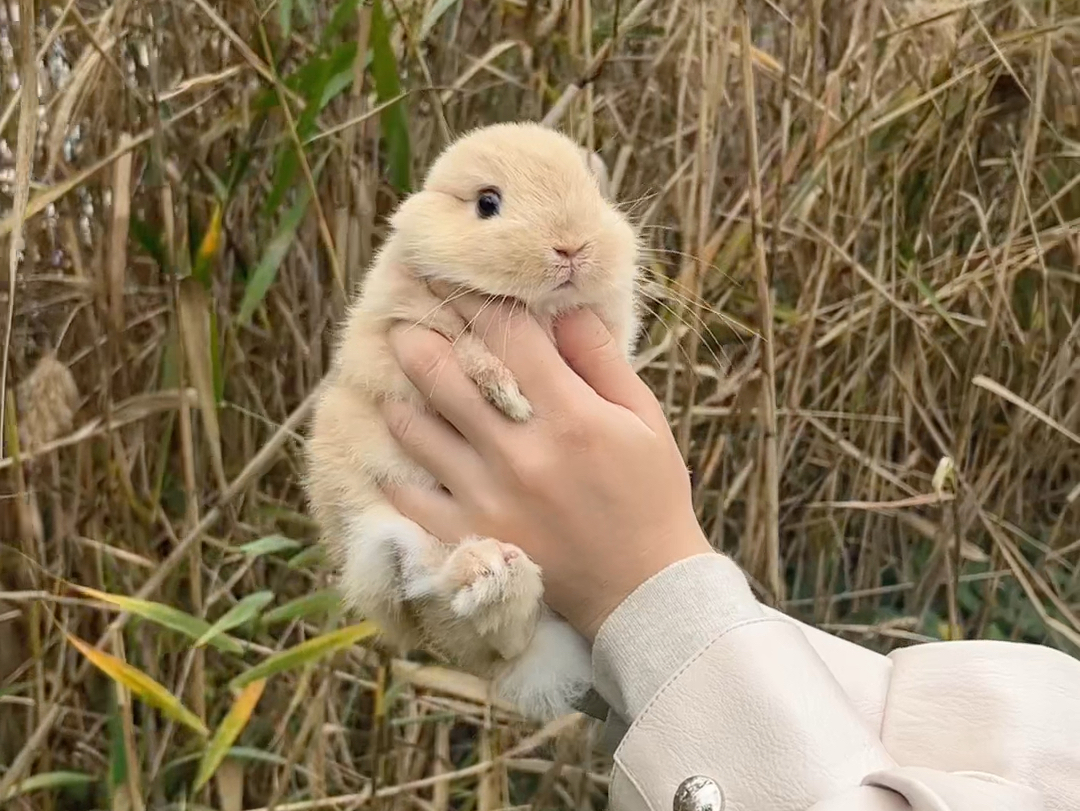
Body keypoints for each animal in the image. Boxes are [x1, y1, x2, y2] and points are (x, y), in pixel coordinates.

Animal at [304, 118, 639, 717]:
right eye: (487, 203)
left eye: (594, 193)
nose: (571, 246)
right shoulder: (406, 325)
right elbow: (467, 351)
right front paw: (509, 399)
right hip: (381, 547)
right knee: (454, 615)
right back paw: (489, 572)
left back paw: (499, 575)